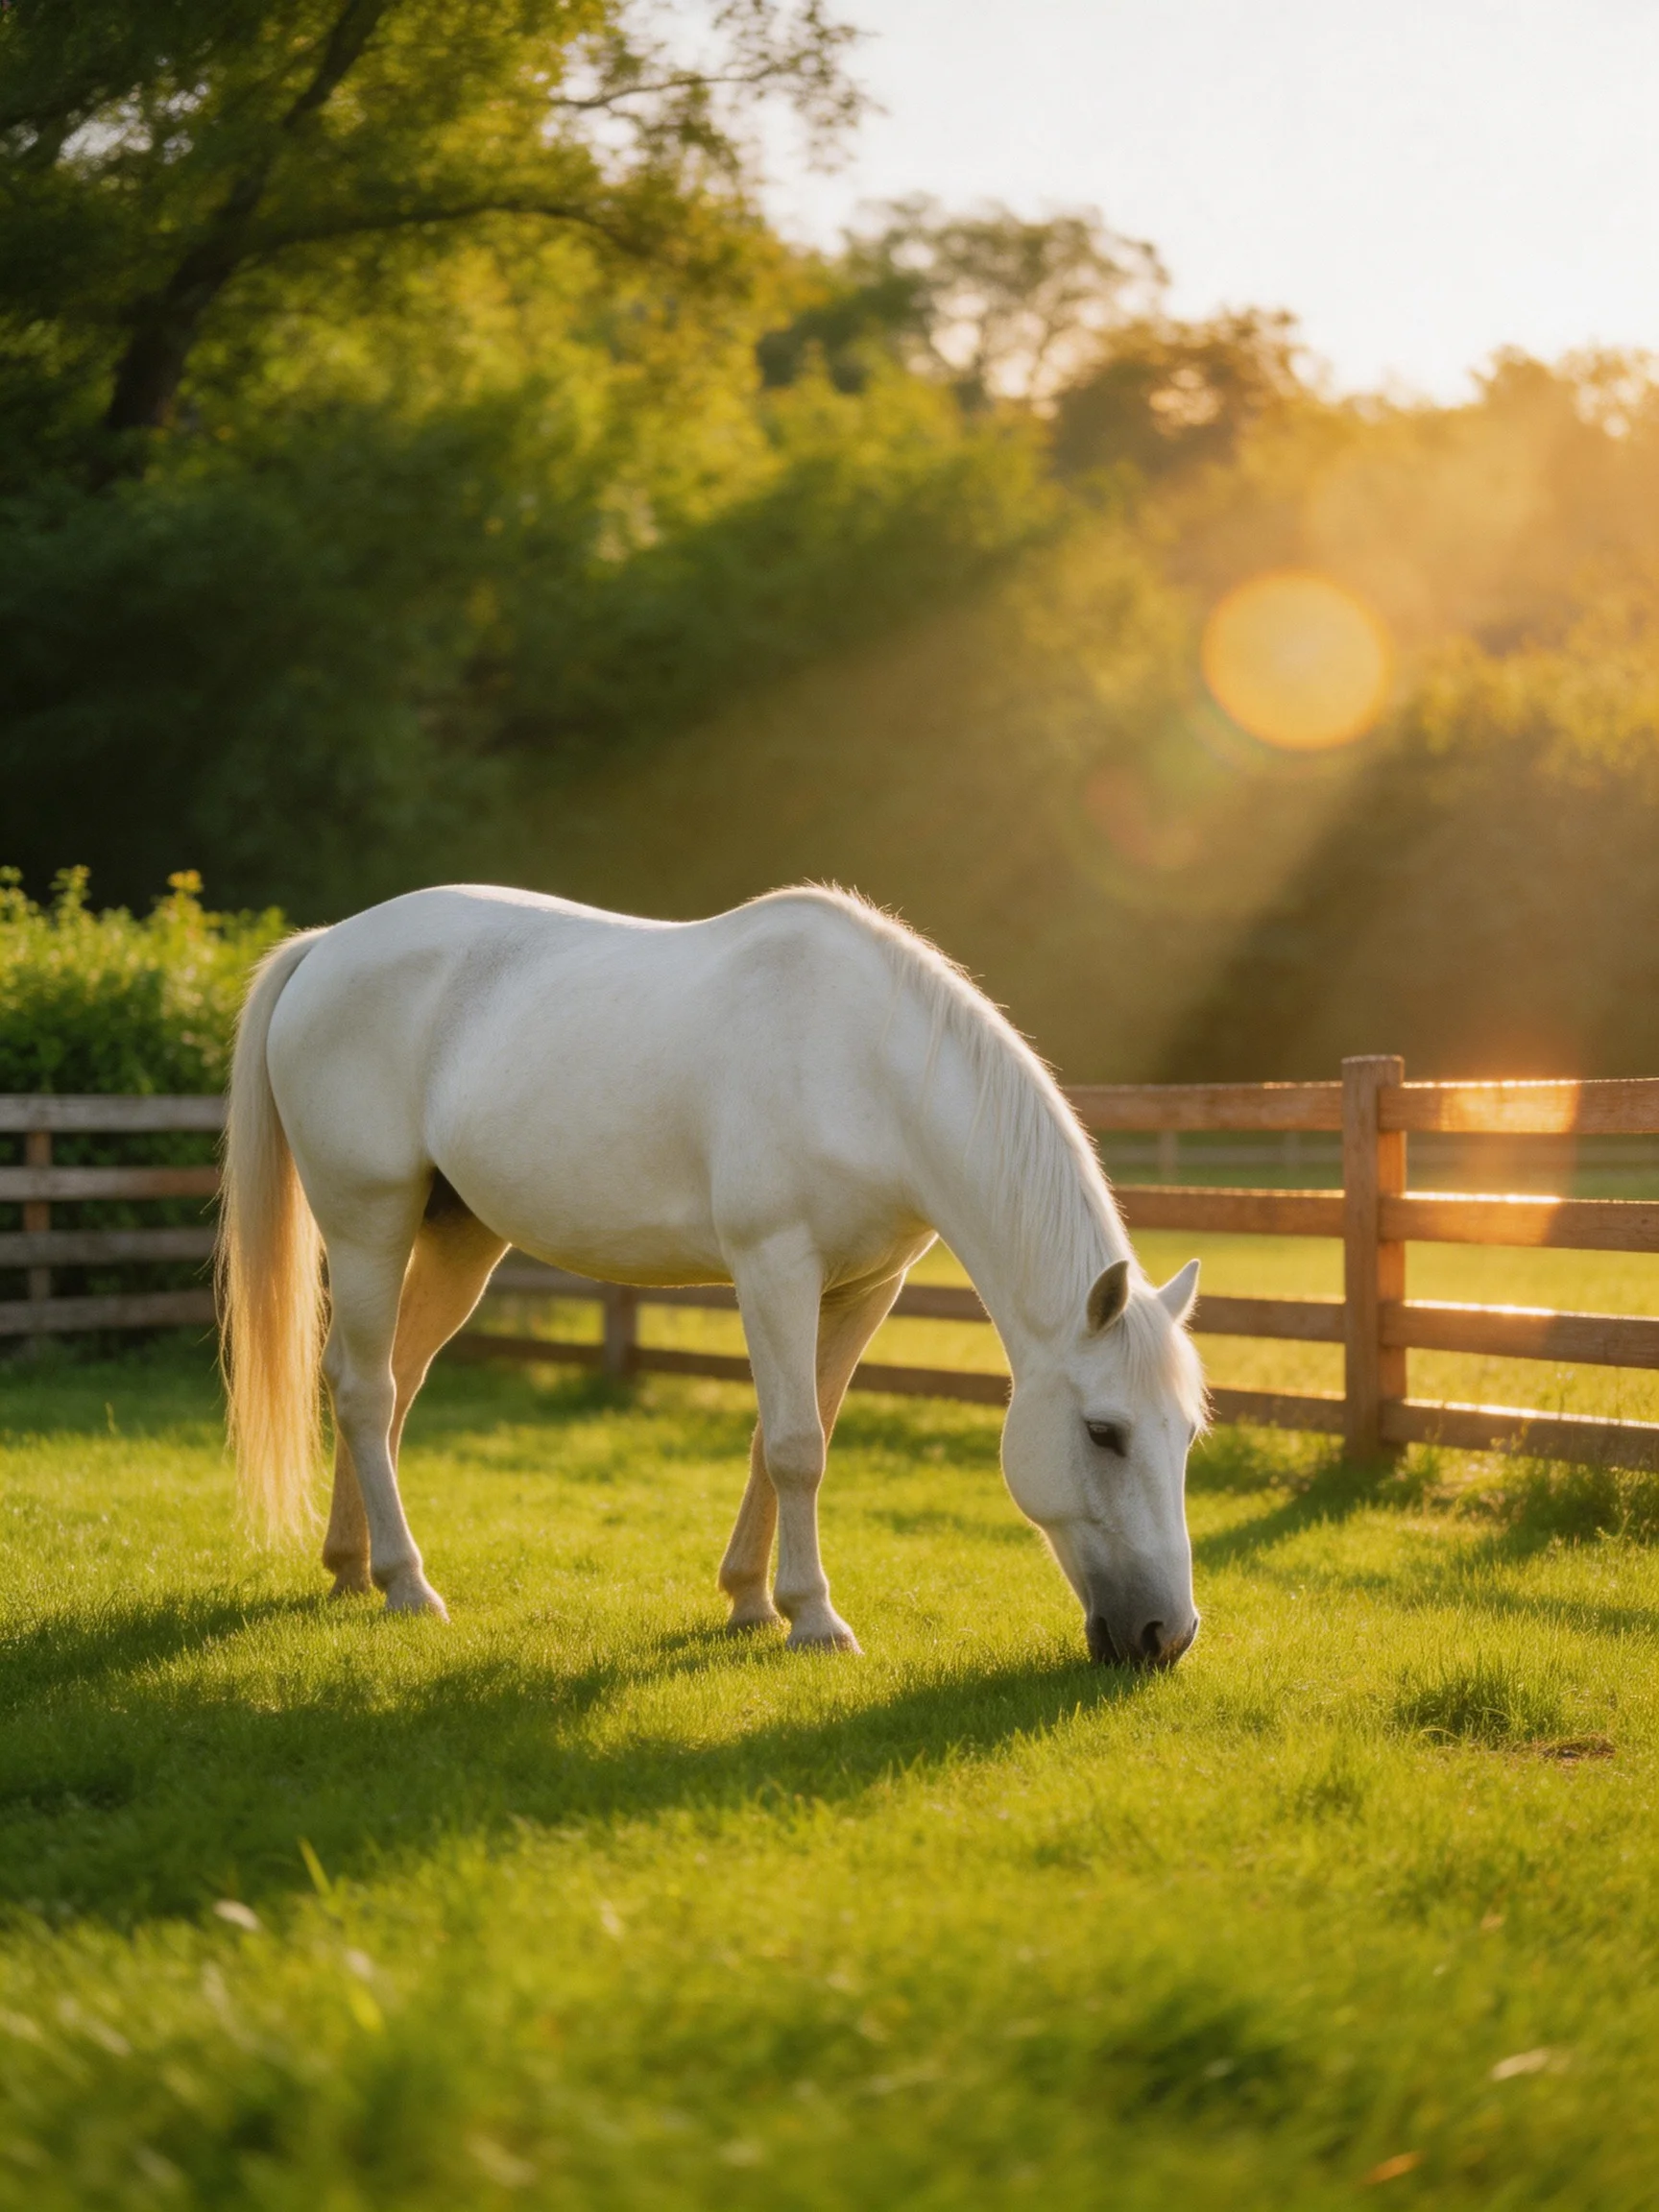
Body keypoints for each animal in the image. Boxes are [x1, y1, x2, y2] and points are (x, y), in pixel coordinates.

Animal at [217, 883, 1207, 1666]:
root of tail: (325, 947)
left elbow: (792, 1434)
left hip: (460, 1241)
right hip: (368, 1223)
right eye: (1105, 1432)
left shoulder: (863, 1289)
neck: (865, 1069)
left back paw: (353, 1571)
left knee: (386, 1379)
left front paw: (750, 1601)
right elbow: (797, 1446)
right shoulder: (775, 1267)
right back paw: (408, 1584)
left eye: (1188, 1433)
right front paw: (815, 1621)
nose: (1166, 1636)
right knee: (366, 1390)